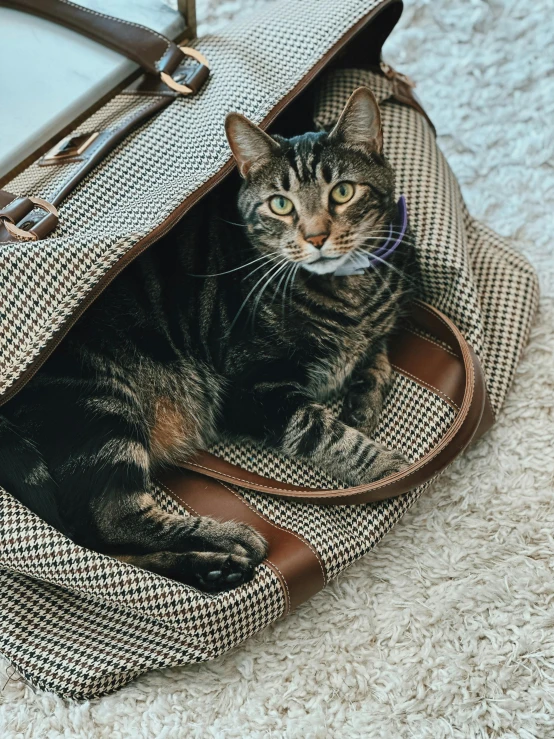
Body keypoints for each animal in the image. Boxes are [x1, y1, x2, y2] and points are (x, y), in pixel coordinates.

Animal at [0, 86, 414, 596]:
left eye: (342, 192)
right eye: (281, 204)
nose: (316, 236)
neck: (348, 292)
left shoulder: (375, 327)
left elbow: (377, 355)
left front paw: (362, 404)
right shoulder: (257, 390)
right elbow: (327, 434)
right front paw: (387, 468)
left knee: (99, 546)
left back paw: (212, 567)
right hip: (100, 405)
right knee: (110, 521)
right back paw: (229, 540)